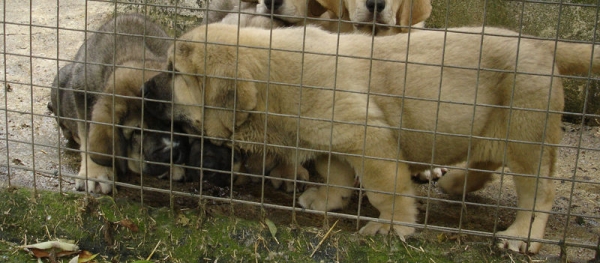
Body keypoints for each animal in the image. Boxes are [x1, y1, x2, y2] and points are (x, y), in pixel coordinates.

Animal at [141, 24, 600, 254]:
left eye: (174, 73)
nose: (144, 88)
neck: (279, 83)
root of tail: (541, 43)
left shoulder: (367, 139)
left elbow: (385, 189)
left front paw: (393, 226)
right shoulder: (334, 141)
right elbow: (336, 174)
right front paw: (327, 199)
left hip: (527, 135)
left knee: (538, 192)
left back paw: (522, 234)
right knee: (486, 160)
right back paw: (456, 183)